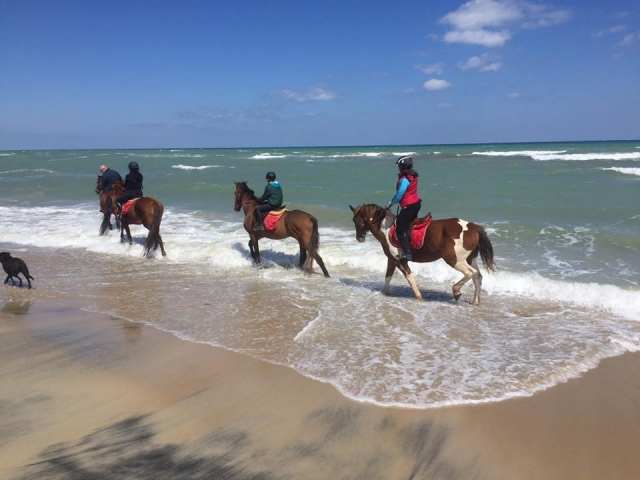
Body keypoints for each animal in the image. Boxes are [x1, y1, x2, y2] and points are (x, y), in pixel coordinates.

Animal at [349, 204, 497, 304]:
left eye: (355, 219)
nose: (359, 238)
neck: (386, 228)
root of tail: (474, 227)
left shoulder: (400, 261)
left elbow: (409, 278)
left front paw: (419, 296)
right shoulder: (391, 260)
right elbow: (388, 276)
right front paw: (385, 293)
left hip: (455, 259)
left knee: (471, 273)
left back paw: (456, 291)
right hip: (470, 259)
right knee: (477, 276)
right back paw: (475, 302)